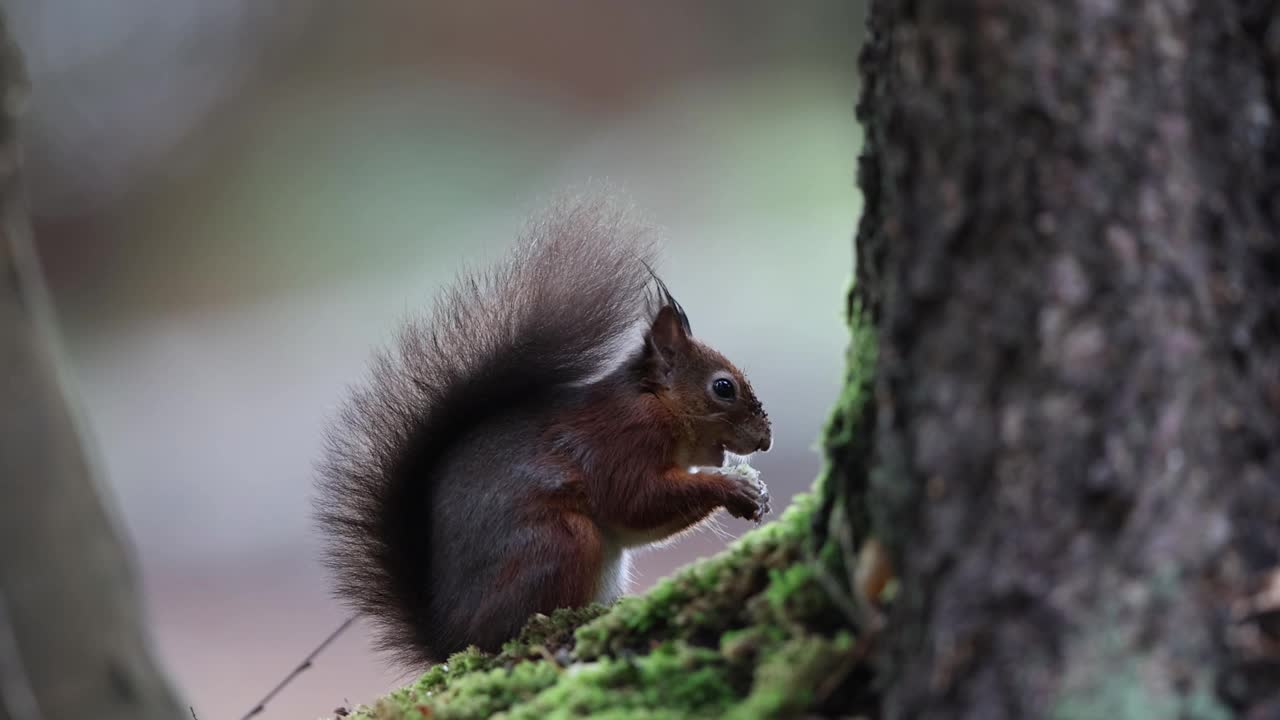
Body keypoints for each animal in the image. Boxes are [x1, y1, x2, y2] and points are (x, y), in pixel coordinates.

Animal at [317, 193, 778, 666]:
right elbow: (635, 500)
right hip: (561, 541)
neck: (655, 403)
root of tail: (452, 641)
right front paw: (733, 488)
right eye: (723, 387)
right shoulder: (623, 440)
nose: (766, 438)